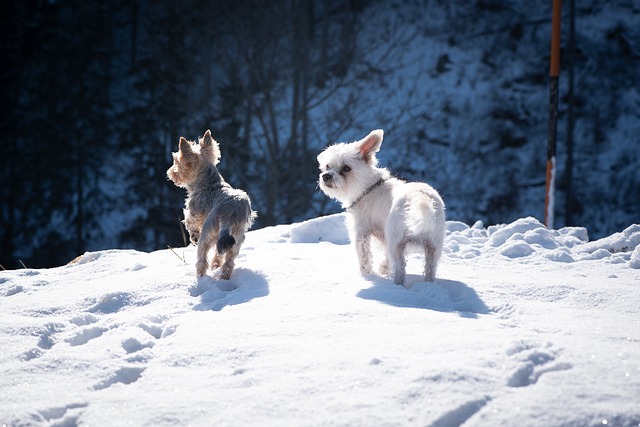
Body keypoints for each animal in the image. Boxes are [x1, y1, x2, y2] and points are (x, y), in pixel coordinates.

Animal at [166, 129, 256, 280]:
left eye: (177, 162)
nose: (170, 172)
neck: (208, 183)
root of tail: (229, 215)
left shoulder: (194, 212)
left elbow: (190, 223)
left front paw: (193, 236)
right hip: (237, 238)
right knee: (228, 261)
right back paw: (221, 272)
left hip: (208, 232)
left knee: (202, 258)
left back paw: (200, 277)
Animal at [318, 129, 448, 286]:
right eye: (327, 166)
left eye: (346, 168)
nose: (326, 176)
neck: (367, 189)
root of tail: (419, 196)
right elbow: (384, 258)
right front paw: (383, 270)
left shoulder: (361, 233)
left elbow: (364, 257)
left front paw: (366, 275)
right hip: (433, 246)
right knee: (430, 268)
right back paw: (428, 285)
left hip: (396, 243)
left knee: (400, 268)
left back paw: (396, 286)